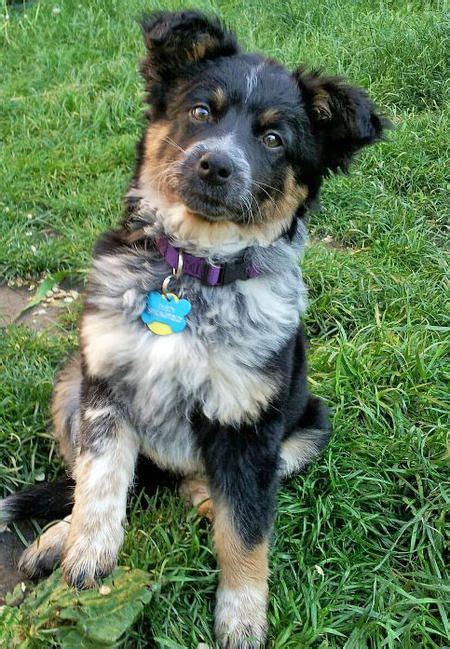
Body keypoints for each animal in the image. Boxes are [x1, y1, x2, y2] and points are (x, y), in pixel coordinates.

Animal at [0, 11, 388, 648]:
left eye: (274, 139)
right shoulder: (106, 383)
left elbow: (246, 534)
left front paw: (242, 620)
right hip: (68, 383)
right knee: (94, 477)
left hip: (311, 423)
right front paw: (85, 553)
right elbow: (101, 479)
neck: (192, 269)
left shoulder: (249, 423)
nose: (215, 164)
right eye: (202, 110)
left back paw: (203, 496)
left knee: (223, 487)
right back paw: (58, 537)